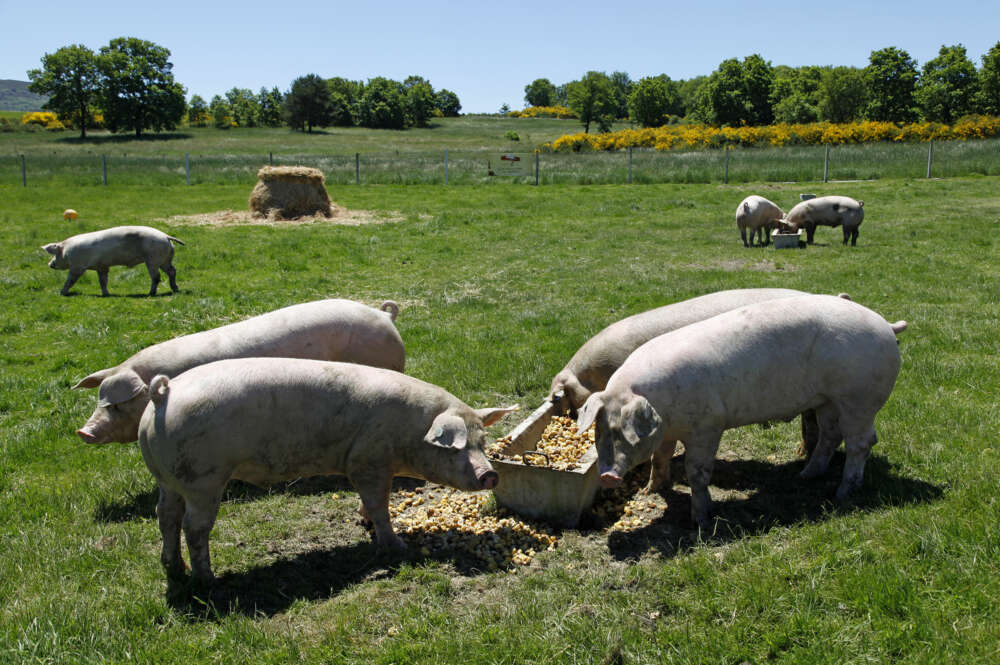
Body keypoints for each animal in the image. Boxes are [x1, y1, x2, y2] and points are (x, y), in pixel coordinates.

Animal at [42, 226, 187, 296]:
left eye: (55, 254)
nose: (49, 264)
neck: (67, 251)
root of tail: (166, 236)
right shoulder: (102, 267)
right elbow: (103, 280)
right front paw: (106, 294)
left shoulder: (77, 267)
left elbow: (70, 280)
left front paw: (62, 293)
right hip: (164, 260)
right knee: (172, 271)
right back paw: (175, 289)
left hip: (153, 259)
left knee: (156, 276)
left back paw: (150, 293)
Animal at [141, 358, 520, 580]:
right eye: (456, 447)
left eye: (482, 442)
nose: (490, 473)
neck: (410, 432)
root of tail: (163, 395)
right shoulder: (368, 460)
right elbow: (379, 504)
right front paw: (395, 546)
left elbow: (372, 502)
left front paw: (364, 523)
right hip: (204, 478)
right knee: (194, 526)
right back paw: (207, 580)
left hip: (168, 478)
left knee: (166, 515)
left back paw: (175, 568)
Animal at [572, 296, 908, 528]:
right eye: (600, 429)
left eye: (624, 432)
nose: (607, 476)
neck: (663, 411)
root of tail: (886, 325)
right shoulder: (668, 431)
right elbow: (660, 457)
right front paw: (650, 490)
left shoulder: (708, 426)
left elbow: (697, 471)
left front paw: (701, 521)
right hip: (827, 400)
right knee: (830, 434)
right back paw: (806, 476)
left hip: (860, 397)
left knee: (861, 442)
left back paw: (842, 493)